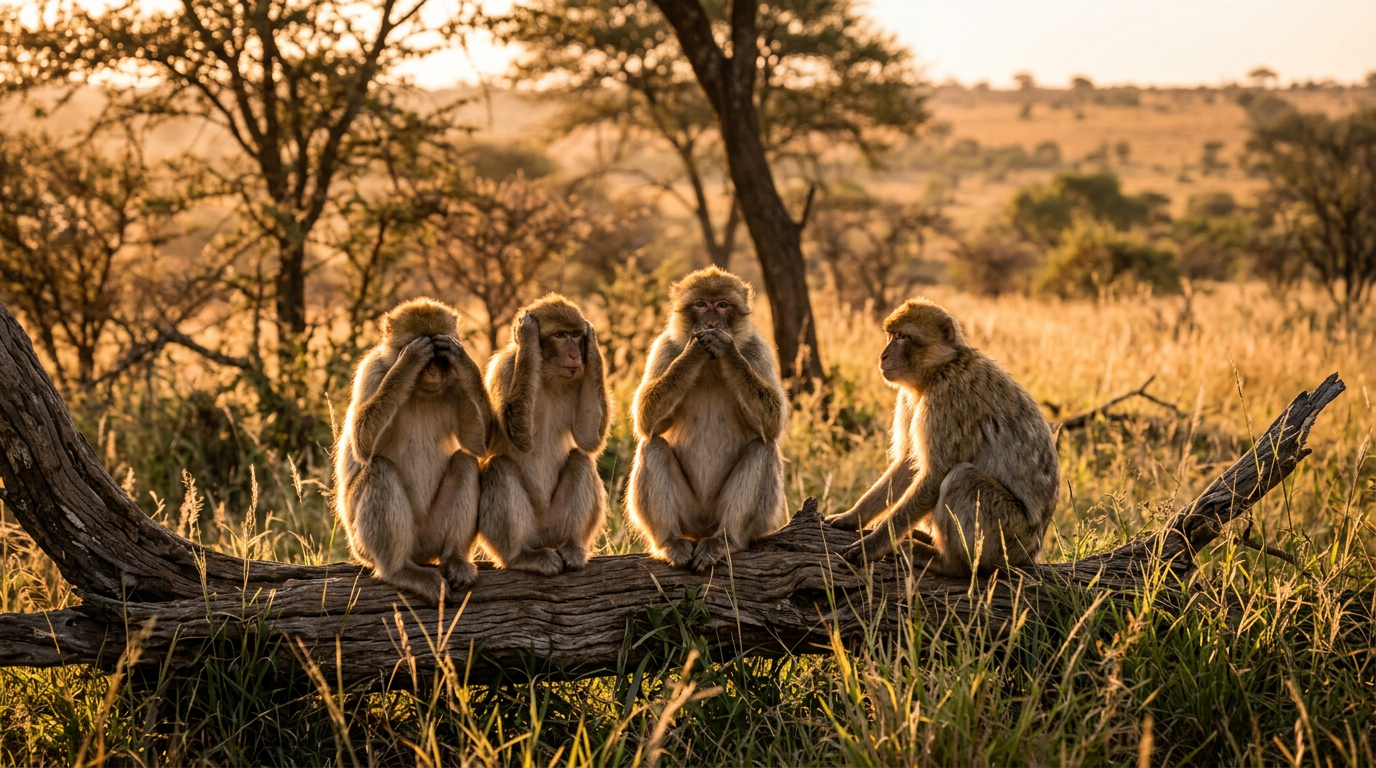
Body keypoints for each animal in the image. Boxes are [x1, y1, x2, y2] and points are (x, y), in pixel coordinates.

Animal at [334, 297, 492, 605]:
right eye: (426, 361)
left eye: (441, 360)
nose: (432, 372)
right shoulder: (371, 371)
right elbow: (362, 445)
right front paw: (406, 364)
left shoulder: (456, 382)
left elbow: (478, 444)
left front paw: (463, 359)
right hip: (362, 544)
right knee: (380, 470)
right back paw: (399, 571)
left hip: (431, 534)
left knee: (465, 462)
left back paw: (455, 558)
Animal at [477, 294, 610, 576]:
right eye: (560, 335)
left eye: (575, 335)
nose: (574, 354)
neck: (548, 375)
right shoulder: (504, 370)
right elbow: (520, 439)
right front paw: (527, 337)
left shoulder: (580, 375)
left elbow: (587, 438)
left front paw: (592, 338)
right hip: (527, 532)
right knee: (499, 468)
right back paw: (521, 557)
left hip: (556, 525)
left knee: (581, 459)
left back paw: (572, 546)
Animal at [626, 266, 789, 573]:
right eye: (701, 304)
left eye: (722, 305)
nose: (711, 322)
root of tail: (701, 527)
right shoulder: (664, 347)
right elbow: (647, 420)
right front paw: (692, 351)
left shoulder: (758, 350)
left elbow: (772, 424)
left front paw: (728, 349)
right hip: (689, 514)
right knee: (652, 446)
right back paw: (671, 542)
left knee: (762, 449)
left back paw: (725, 540)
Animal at [826, 298, 1059, 576]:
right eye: (891, 335)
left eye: (902, 337)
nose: (883, 356)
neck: (942, 367)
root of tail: (1033, 552)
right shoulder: (909, 398)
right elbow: (908, 465)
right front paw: (851, 517)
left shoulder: (947, 398)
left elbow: (935, 474)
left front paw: (872, 545)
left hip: (1009, 537)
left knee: (962, 477)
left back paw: (946, 561)